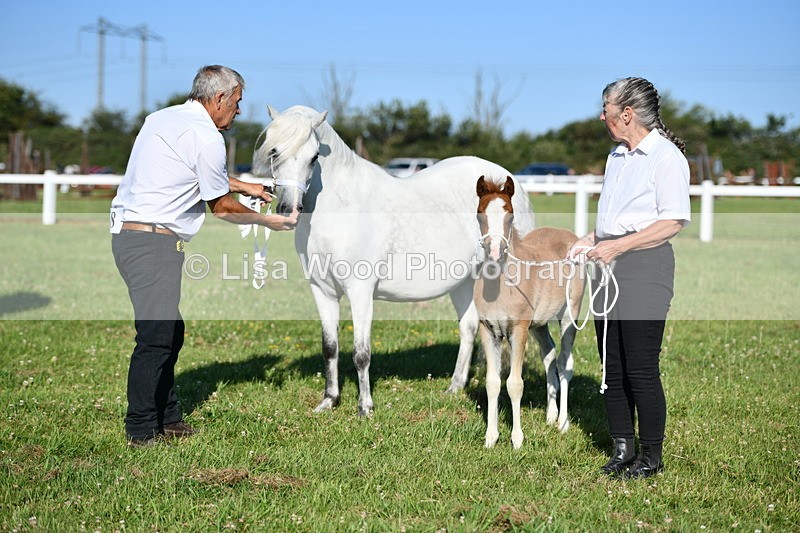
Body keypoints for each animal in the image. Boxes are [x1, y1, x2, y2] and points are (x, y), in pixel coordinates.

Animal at [252, 105, 535, 416]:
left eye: (314, 156)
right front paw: (329, 401)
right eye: (274, 151)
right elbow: (330, 347)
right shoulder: (322, 290)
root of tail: (508, 182)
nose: (289, 208)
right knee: (469, 326)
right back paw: (455, 387)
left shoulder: (360, 291)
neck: (342, 208)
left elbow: (361, 353)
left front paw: (365, 407)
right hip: (465, 281)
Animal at [474, 175, 584, 448]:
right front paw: (490, 438)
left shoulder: (519, 330)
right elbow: (493, 382)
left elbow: (515, 383)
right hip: (540, 324)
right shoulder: (488, 330)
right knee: (549, 354)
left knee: (565, 362)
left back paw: (563, 422)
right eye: (480, 214)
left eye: (510, 215)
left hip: (570, 315)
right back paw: (550, 414)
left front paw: (517, 439)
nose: (495, 252)